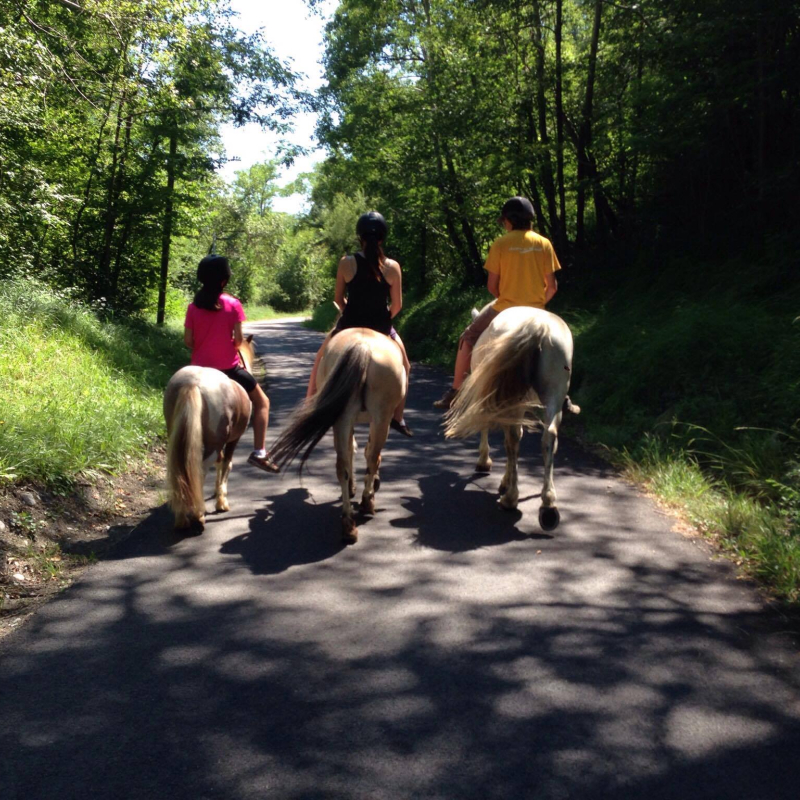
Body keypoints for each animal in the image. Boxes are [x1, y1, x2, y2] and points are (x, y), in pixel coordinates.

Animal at [165, 336, 258, 532]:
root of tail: (193, 383)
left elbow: (220, 463)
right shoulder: (233, 439)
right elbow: (227, 463)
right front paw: (221, 501)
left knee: (179, 468)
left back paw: (181, 517)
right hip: (215, 442)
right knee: (201, 468)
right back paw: (198, 515)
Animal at [270, 326, 406, 544]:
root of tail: (363, 346)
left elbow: (352, 450)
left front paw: (353, 487)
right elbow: (366, 453)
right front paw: (368, 488)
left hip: (344, 417)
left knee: (343, 464)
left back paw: (348, 524)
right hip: (380, 417)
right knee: (372, 457)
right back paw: (366, 503)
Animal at [444, 304, 580, 532]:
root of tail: (539, 327)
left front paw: (485, 463)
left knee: (513, 439)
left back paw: (510, 499)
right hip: (553, 392)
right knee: (548, 437)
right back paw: (548, 506)